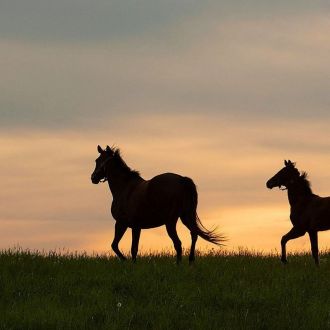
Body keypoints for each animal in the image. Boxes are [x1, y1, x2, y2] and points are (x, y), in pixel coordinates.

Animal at [91, 145, 223, 262]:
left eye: (98, 160)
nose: (93, 178)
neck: (125, 188)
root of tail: (182, 180)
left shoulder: (127, 224)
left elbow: (129, 248)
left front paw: (129, 264)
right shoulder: (128, 225)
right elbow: (118, 246)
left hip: (171, 221)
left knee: (178, 243)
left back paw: (178, 265)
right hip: (186, 216)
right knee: (194, 234)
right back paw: (190, 261)